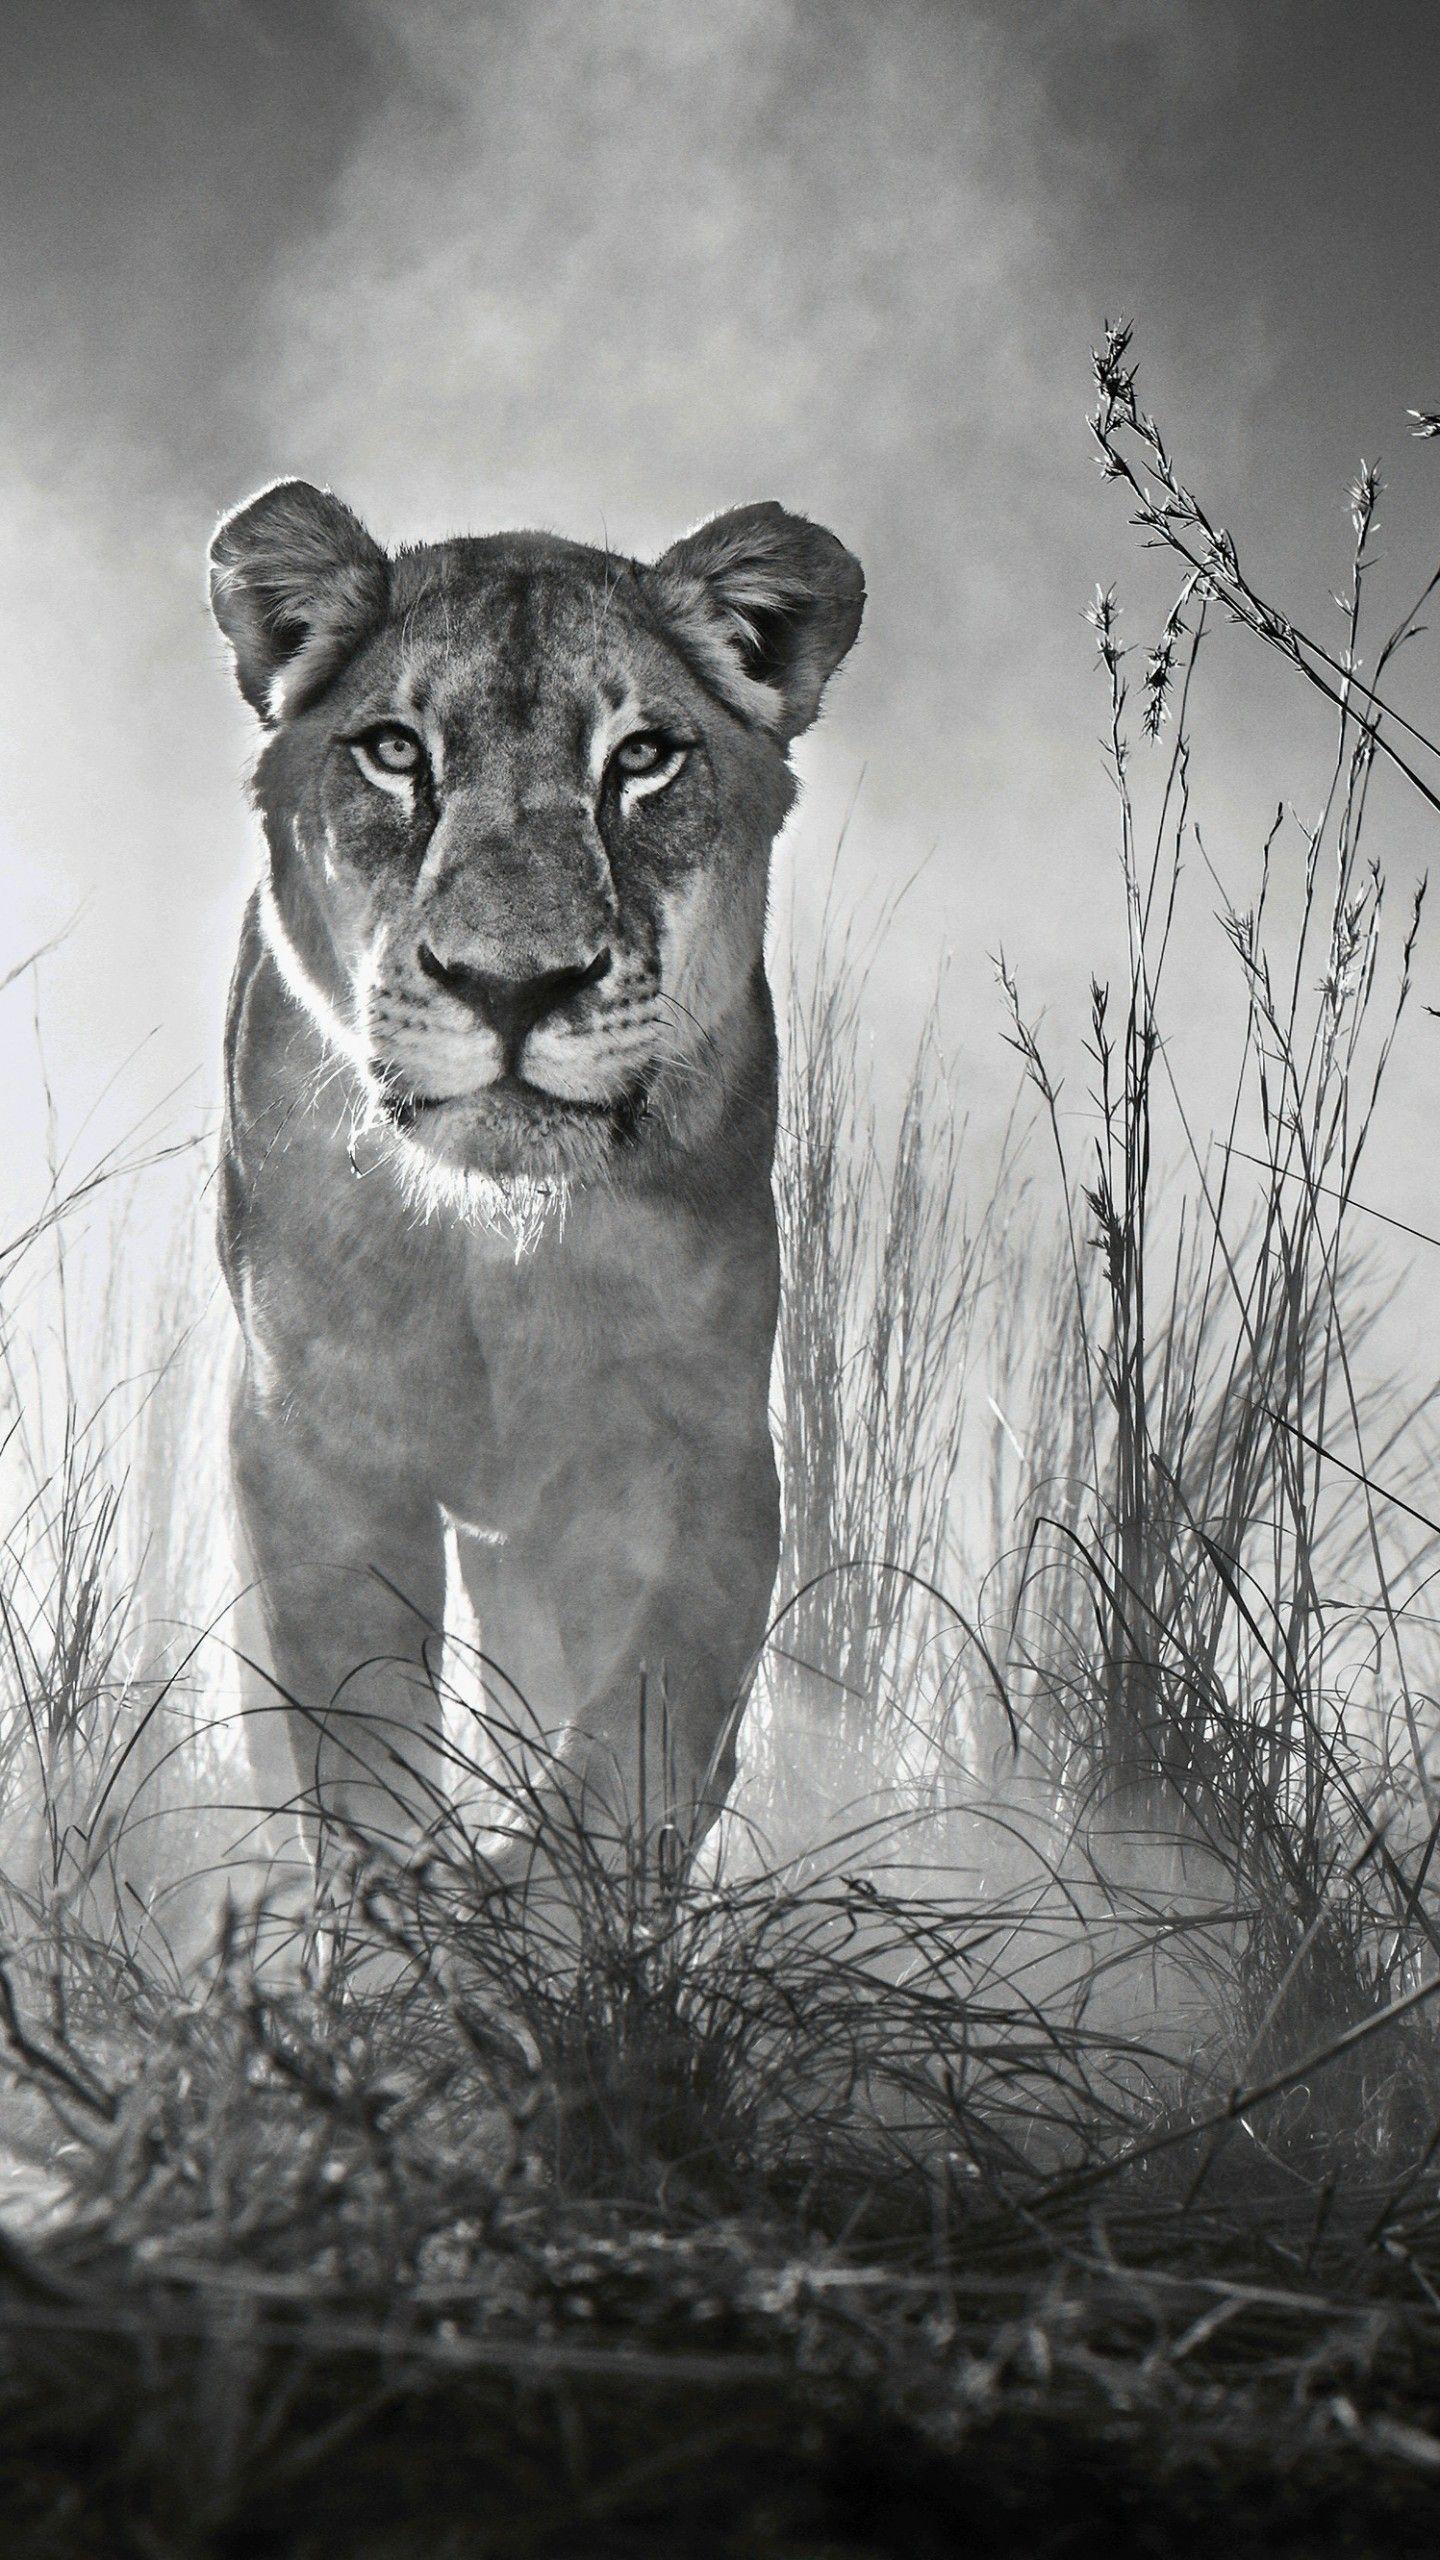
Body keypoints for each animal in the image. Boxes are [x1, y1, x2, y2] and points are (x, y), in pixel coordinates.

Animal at [209, 479, 864, 1893]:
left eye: (644, 757)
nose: (512, 986)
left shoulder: (701, 1448)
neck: (495, 1249)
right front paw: (404, 1916)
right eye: (395, 752)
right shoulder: (310, 1439)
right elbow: (356, 1725)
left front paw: (544, 1898)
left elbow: (645, 1723)